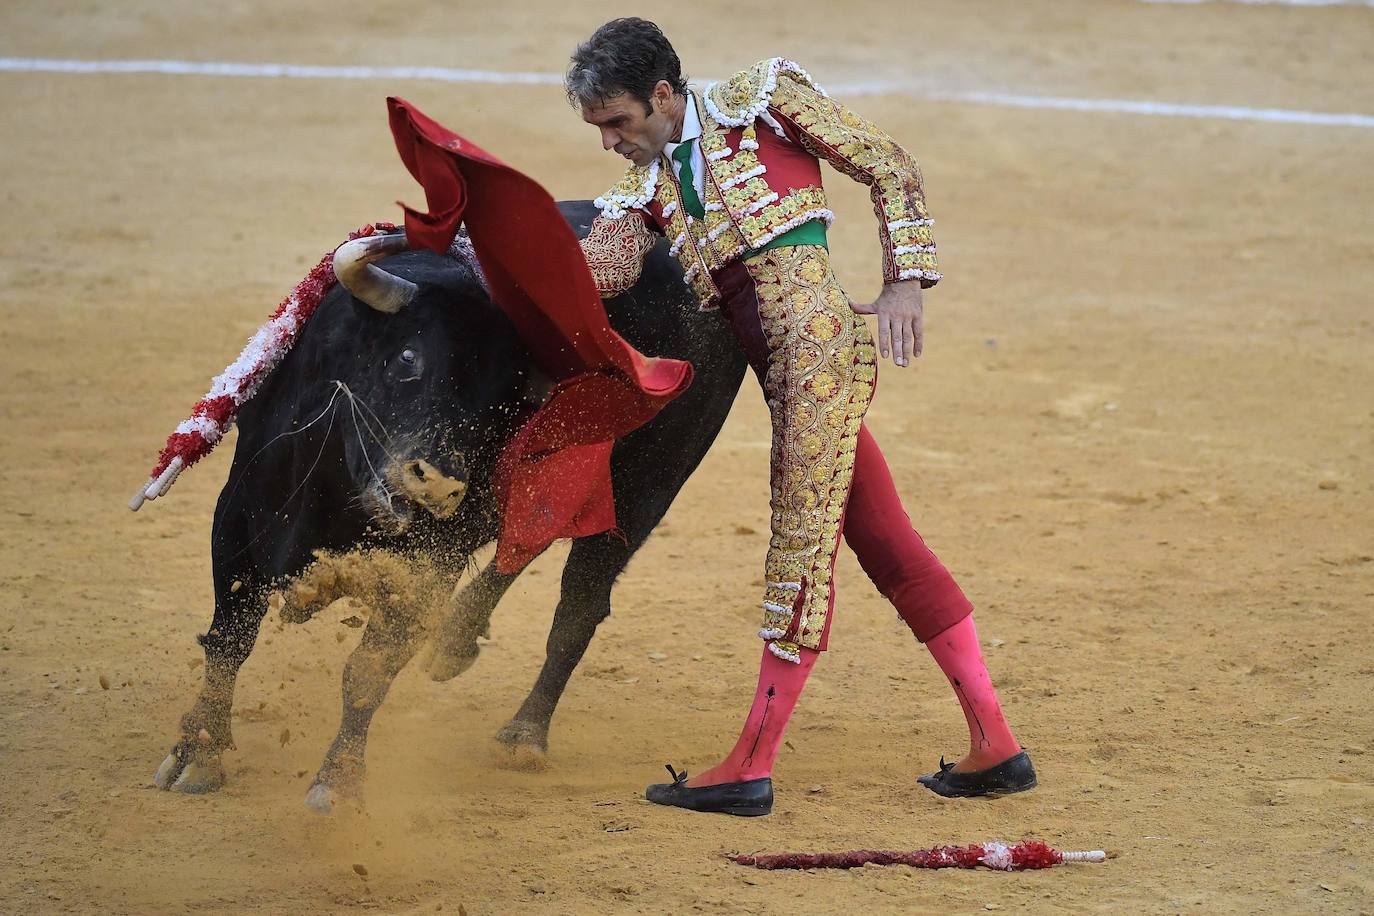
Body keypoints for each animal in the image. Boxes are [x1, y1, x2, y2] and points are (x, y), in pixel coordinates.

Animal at [154, 201, 747, 807]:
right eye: (407, 356)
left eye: (503, 397)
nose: (438, 484)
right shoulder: (237, 515)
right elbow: (229, 638)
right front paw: (198, 754)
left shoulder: (430, 563)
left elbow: (369, 669)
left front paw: (337, 782)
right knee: (527, 542)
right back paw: (455, 642)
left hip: (648, 483)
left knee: (579, 604)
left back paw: (523, 734)